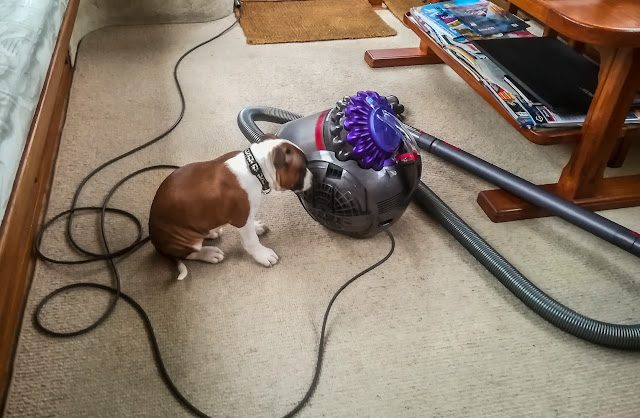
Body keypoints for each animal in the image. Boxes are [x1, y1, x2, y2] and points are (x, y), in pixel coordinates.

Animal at [148, 139, 312, 280]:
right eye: (303, 168)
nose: (314, 177)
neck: (255, 167)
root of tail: (158, 246)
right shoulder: (241, 217)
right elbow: (251, 240)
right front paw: (262, 254)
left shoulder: (246, 216)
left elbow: (251, 226)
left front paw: (256, 227)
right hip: (182, 239)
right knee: (188, 253)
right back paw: (209, 253)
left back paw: (212, 233)